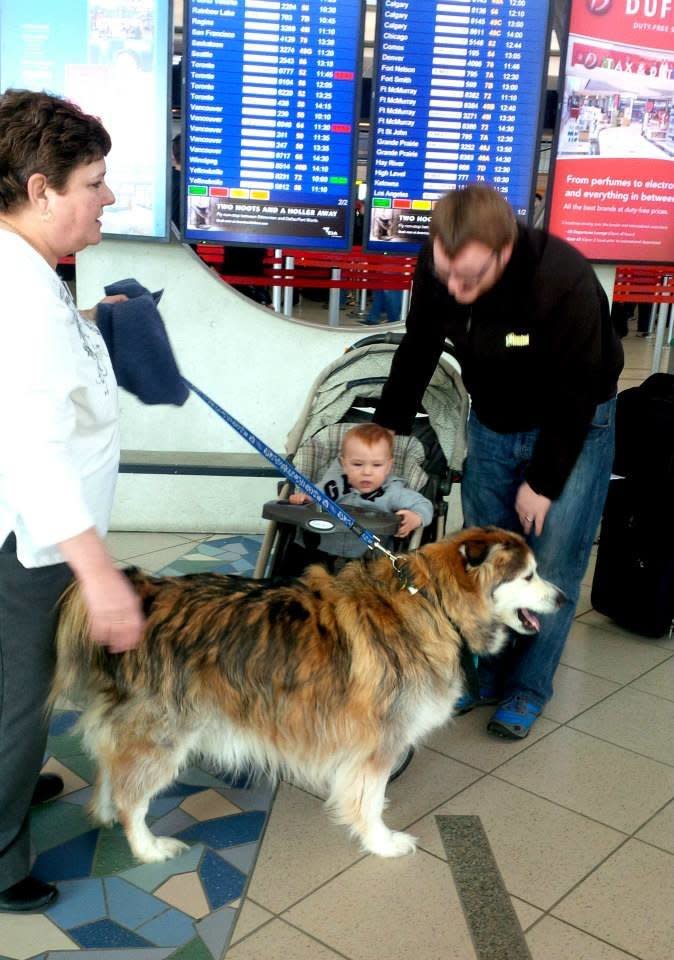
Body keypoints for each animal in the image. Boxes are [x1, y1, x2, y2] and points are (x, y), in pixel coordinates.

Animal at [51, 524, 560, 864]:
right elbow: (368, 797)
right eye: (529, 576)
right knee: (131, 794)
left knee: (109, 764)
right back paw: (147, 846)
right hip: (165, 732)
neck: (431, 601)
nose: (562, 598)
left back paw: (102, 811)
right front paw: (381, 840)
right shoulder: (381, 741)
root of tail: (145, 592)